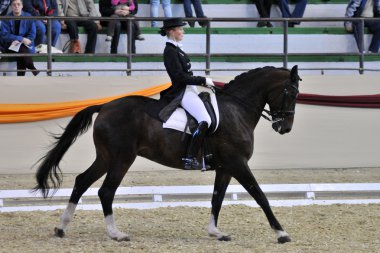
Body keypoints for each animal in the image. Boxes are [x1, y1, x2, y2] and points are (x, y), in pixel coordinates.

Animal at [35, 65, 300, 243]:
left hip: (106, 157)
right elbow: (260, 196)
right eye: (291, 93)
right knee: (106, 191)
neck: (237, 111)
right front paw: (282, 233)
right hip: (122, 158)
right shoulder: (237, 163)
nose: (285, 128)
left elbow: (217, 198)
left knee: (82, 181)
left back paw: (62, 228)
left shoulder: (225, 168)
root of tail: (106, 106)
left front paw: (216, 232)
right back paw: (116, 234)